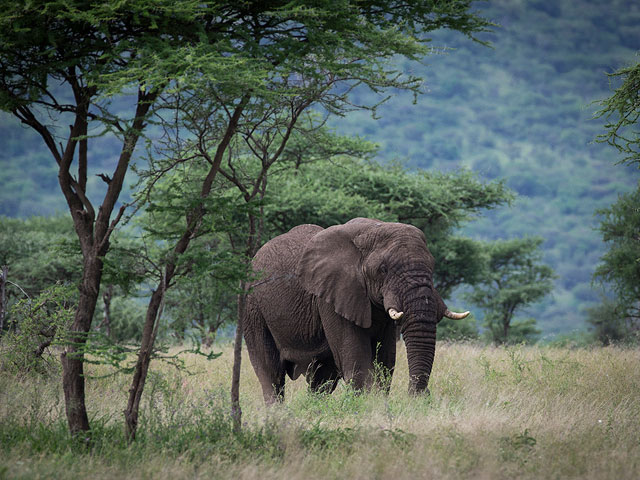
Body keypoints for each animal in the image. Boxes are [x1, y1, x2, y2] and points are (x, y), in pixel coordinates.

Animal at [242, 219, 468, 404]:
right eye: (383, 269)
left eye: (433, 266)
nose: (421, 396)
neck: (371, 229)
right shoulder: (331, 295)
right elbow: (357, 360)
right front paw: (365, 407)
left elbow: (385, 362)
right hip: (253, 307)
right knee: (271, 372)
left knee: (322, 377)